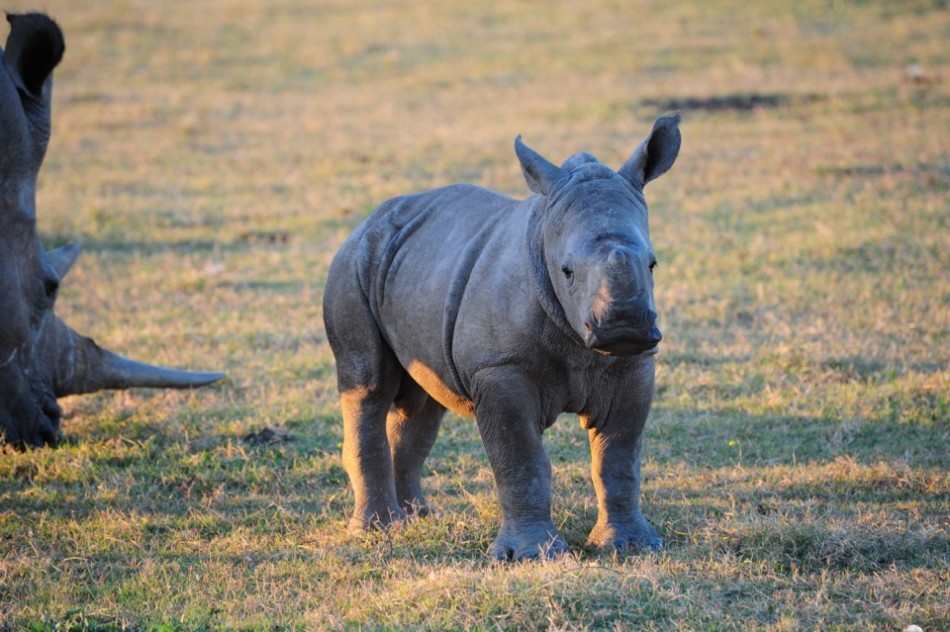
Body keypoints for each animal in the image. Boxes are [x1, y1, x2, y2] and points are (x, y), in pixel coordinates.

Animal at [323, 114, 681, 559]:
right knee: (368, 386)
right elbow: (521, 461)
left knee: (421, 405)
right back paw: (376, 531)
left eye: (653, 264)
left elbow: (618, 460)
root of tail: (366, 220)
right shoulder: (499, 367)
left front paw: (631, 546)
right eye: (566, 271)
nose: (624, 326)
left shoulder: (633, 365)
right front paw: (530, 556)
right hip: (352, 262)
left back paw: (417, 520)